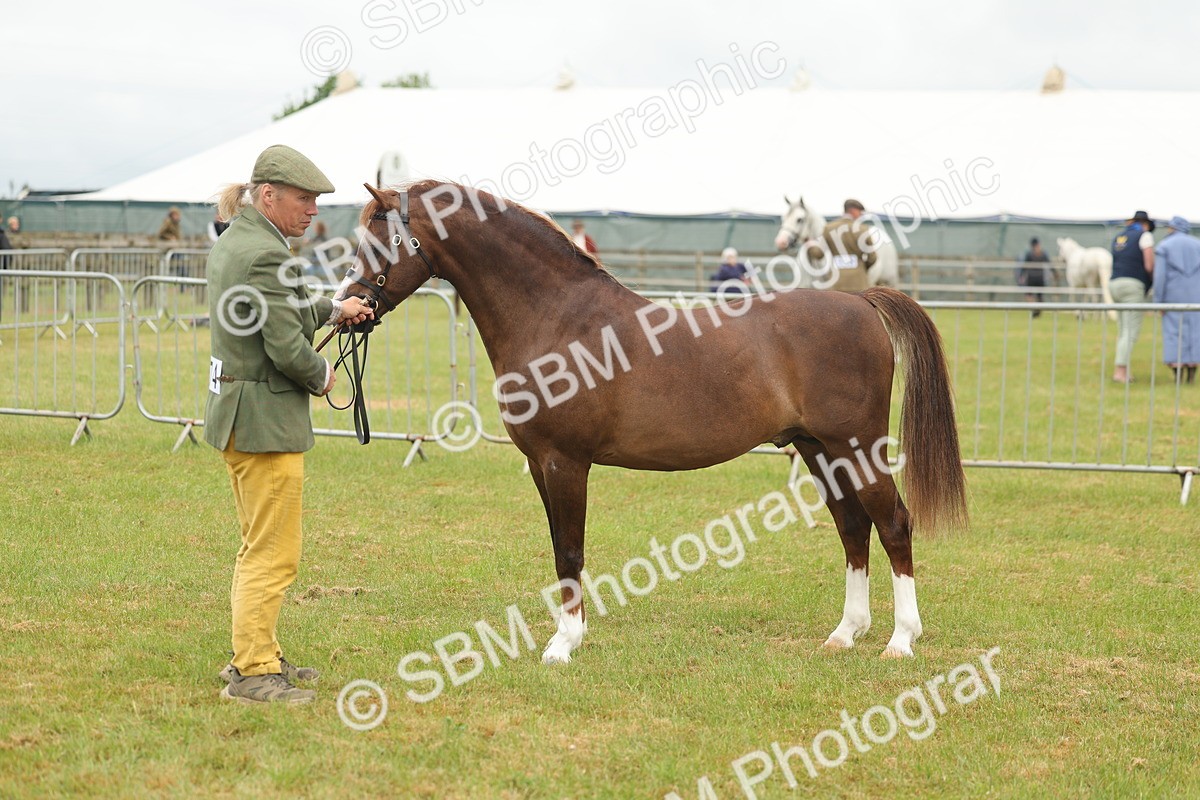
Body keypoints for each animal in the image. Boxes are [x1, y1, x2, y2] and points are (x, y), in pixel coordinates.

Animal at [339, 181, 967, 664]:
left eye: (377, 240)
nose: (347, 309)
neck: (557, 317)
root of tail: (860, 301)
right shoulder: (540, 465)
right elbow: (560, 549)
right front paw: (569, 634)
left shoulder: (565, 462)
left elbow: (570, 551)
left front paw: (563, 645)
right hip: (818, 450)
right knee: (852, 528)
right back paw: (845, 633)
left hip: (857, 445)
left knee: (893, 524)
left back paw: (900, 641)